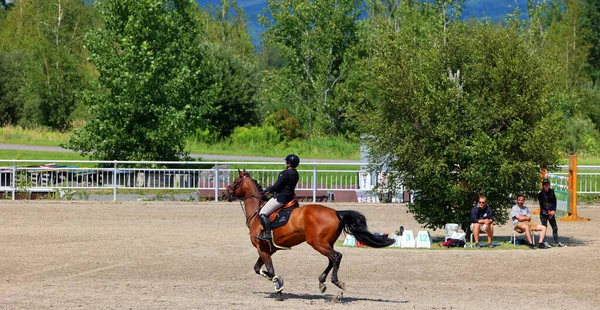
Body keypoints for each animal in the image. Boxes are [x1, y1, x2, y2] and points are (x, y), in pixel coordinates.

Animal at [225, 171, 394, 296]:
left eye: (235, 182)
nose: (225, 193)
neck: (257, 212)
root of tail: (336, 213)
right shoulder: (269, 250)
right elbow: (257, 268)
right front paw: (277, 283)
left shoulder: (262, 249)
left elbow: (271, 271)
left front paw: (278, 285)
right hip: (325, 243)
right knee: (332, 259)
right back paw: (322, 281)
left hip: (317, 243)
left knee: (336, 256)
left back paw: (335, 281)